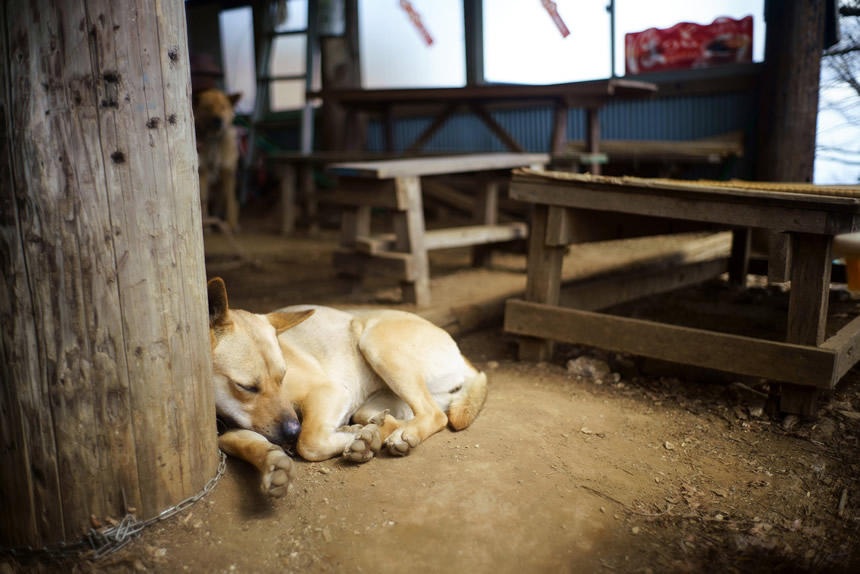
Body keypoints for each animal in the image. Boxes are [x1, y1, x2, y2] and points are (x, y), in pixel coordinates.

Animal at [194, 89, 242, 233]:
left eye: (223, 107)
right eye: (207, 107)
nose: (218, 119)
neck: (214, 140)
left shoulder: (228, 172)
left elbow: (231, 200)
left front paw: (232, 224)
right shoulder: (202, 172)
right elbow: (203, 199)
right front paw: (206, 227)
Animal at [208, 278, 488, 496]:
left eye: (282, 377)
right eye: (245, 387)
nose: (289, 433)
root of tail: (461, 355)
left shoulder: (328, 391)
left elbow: (308, 441)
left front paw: (345, 436)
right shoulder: (235, 431)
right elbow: (244, 443)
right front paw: (273, 465)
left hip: (375, 344)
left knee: (435, 414)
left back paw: (390, 436)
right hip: (378, 401)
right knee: (390, 417)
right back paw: (372, 432)